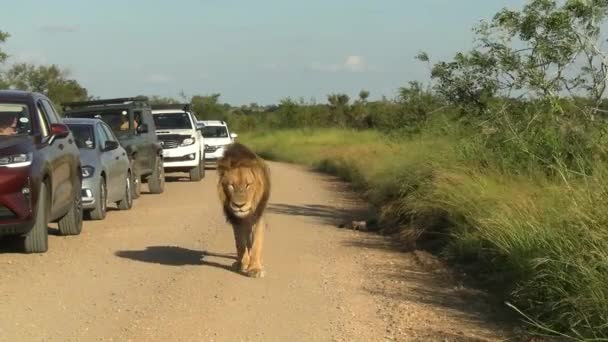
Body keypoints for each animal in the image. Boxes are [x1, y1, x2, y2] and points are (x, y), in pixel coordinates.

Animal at [215, 142, 270, 278]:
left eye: (248, 185)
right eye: (231, 185)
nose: (239, 205)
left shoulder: (258, 217)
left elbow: (256, 243)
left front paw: (255, 268)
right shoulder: (236, 220)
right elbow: (240, 243)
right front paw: (242, 263)